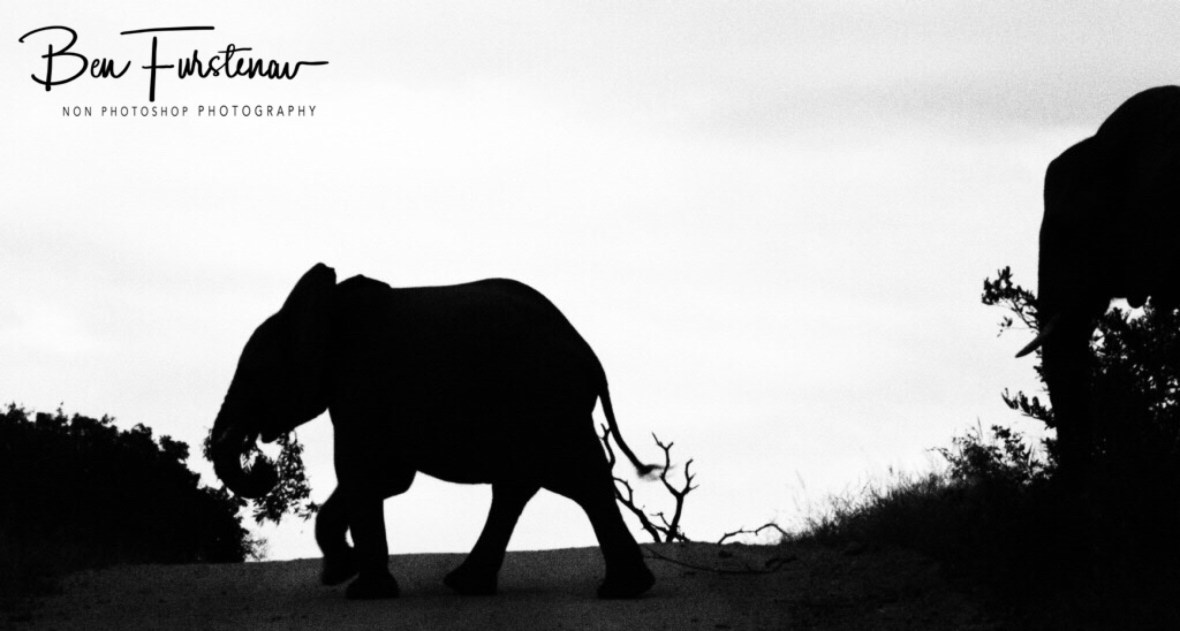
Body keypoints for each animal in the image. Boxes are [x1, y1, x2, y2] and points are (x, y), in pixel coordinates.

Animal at [209, 263, 657, 599]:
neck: (329, 308)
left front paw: (359, 588)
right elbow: (384, 479)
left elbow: (362, 472)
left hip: (547, 401)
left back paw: (621, 590)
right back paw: (470, 584)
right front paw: (341, 573)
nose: (263, 464)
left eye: (255, 373)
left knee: (579, 480)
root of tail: (589, 355)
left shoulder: (362, 386)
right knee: (523, 487)